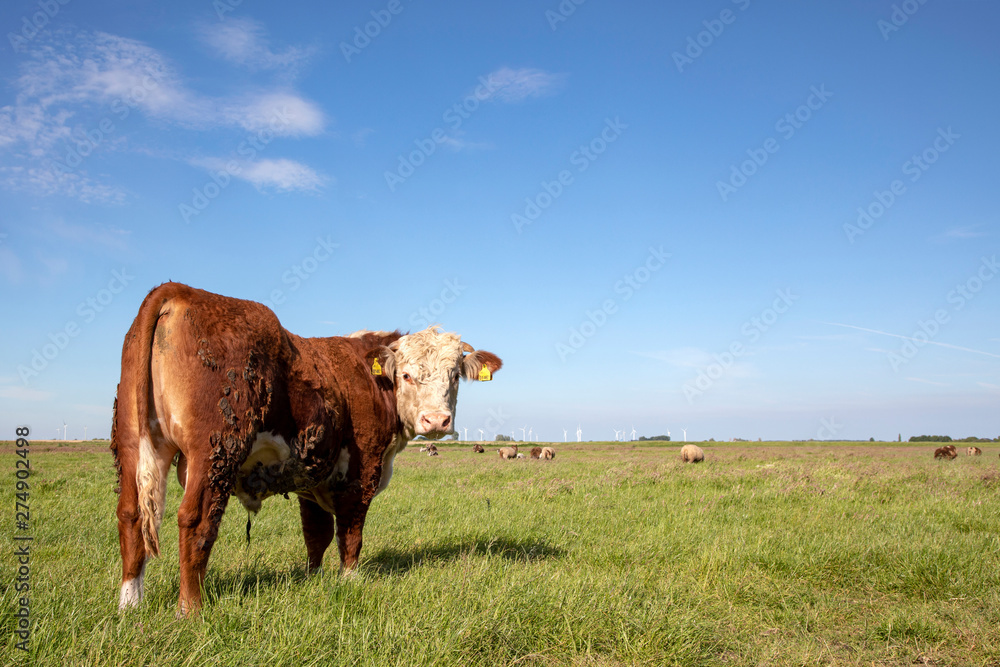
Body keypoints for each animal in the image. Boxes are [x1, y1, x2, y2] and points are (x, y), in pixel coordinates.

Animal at [111, 282, 500, 616]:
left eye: (454, 376)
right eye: (405, 375)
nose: (436, 420)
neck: (369, 377)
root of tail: (179, 290)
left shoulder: (310, 475)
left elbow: (316, 533)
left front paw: (313, 579)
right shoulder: (362, 471)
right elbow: (350, 532)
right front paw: (349, 580)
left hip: (132, 443)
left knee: (131, 514)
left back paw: (130, 604)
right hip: (213, 452)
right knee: (195, 521)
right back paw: (189, 609)